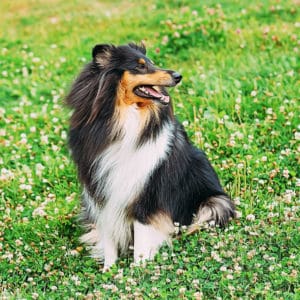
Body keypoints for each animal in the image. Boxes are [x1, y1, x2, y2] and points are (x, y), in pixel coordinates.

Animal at [65, 42, 234, 270]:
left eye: (152, 62)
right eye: (140, 66)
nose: (178, 76)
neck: (125, 116)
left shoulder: (147, 189)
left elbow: (142, 235)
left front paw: (138, 269)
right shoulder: (101, 188)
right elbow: (109, 235)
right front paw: (109, 269)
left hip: (215, 203)